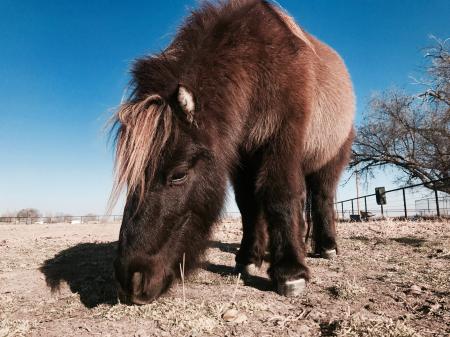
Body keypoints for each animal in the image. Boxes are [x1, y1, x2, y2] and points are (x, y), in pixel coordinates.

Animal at [110, 0, 356, 304]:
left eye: (178, 175)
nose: (130, 280)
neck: (258, 65)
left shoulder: (283, 142)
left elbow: (281, 194)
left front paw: (290, 272)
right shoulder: (240, 158)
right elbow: (248, 204)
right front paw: (248, 258)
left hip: (330, 160)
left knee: (322, 197)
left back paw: (326, 246)